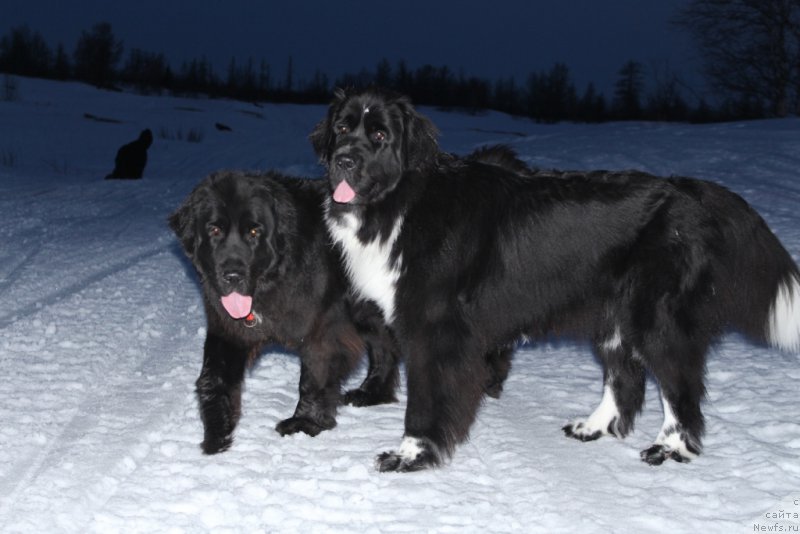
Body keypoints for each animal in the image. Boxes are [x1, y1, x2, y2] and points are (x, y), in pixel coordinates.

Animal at [172, 172, 404, 456]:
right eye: (214, 230)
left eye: (254, 231)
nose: (233, 275)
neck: (279, 273)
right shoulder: (228, 329)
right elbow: (213, 376)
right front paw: (217, 431)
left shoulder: (325, 329)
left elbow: (314, 376)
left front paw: (305, 422)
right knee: (383, 347)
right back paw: (372, 393)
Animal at [310, 87, 800, 474]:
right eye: (342, 128)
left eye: (379, 136)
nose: (343, 160)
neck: (404, 201)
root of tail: (689, 191)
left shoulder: (435, 331)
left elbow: (425, 401)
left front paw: (409, 455)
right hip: (614, 317)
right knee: (624, 379)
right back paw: (594, 427)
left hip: (657, 319)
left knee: (679, 388)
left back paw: (669, 448)